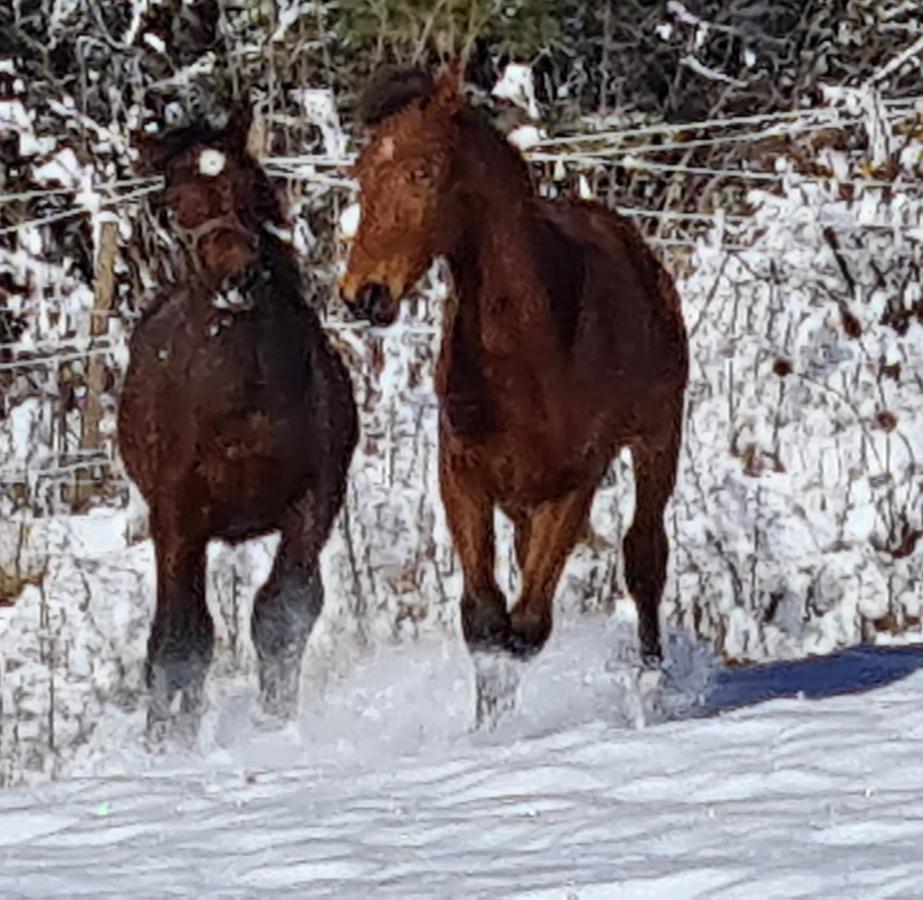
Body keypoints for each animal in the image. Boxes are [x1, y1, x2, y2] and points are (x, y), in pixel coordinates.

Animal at [119, 107, 358, 740]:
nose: (238, 279)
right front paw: (167, 743)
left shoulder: (314, 503)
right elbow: (180, 640)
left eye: (251, 189)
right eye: (175, 203)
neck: (252, 398)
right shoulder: (178, 518)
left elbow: (283, 612)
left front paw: (276, 720)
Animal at [342, 65, 688, 724]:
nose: (362, 294)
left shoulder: (574, 485)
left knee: (644, 557)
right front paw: (487, 730)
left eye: (423, 172)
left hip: (659, 437)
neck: (528, 352)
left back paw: (654, 686)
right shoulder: (462, 477)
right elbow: (486, 622)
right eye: (364, 172)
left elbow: (525, 626)